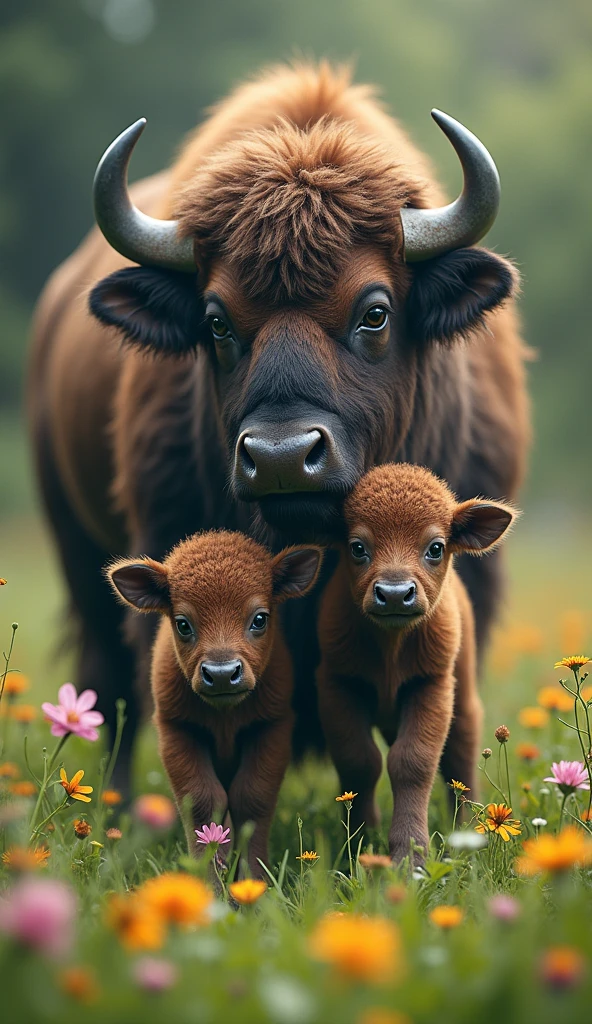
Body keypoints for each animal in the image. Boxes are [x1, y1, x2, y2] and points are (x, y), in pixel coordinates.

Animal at [107, 532, 319, 876]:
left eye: (260, 619)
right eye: (183, 623)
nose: (221, 674)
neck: (225, 718)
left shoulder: (271, 726)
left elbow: (252, 797)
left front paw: (253, 879)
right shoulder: (177, 729)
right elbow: (204, 800)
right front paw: (210, 879)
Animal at [315, 466, 514, 864]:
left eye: (435, 548)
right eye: (357, 547)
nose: (394, 593)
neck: (391, 649)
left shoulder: (432, 686)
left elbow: (412, 763)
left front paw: (411, 858)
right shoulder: (338, 685)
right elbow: (359, 761)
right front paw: (358, 844)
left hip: (462, 698)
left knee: (462, 757)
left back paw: (466, 834)